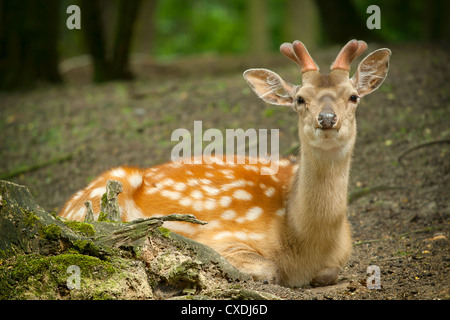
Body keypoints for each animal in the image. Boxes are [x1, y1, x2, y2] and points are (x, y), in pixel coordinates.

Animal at [59, 40, 390, 288]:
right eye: (299, 99)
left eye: (353, 96)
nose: (327, 119)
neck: (306, 241)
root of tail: (61, 211)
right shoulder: (222, 238)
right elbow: (268, 270)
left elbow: (330, 273)